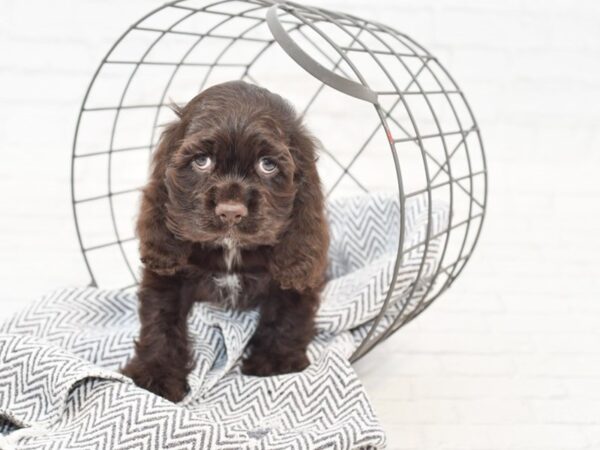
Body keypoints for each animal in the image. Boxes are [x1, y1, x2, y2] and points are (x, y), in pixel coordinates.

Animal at [120, 80, 330, 400]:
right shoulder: (167, 274)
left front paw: (276, 362)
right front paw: (156, 373)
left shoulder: (296, 268)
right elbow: (161, 319)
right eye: (202, 161)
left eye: (267, 165)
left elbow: (287, 312)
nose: (231, 212)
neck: (231, 249)